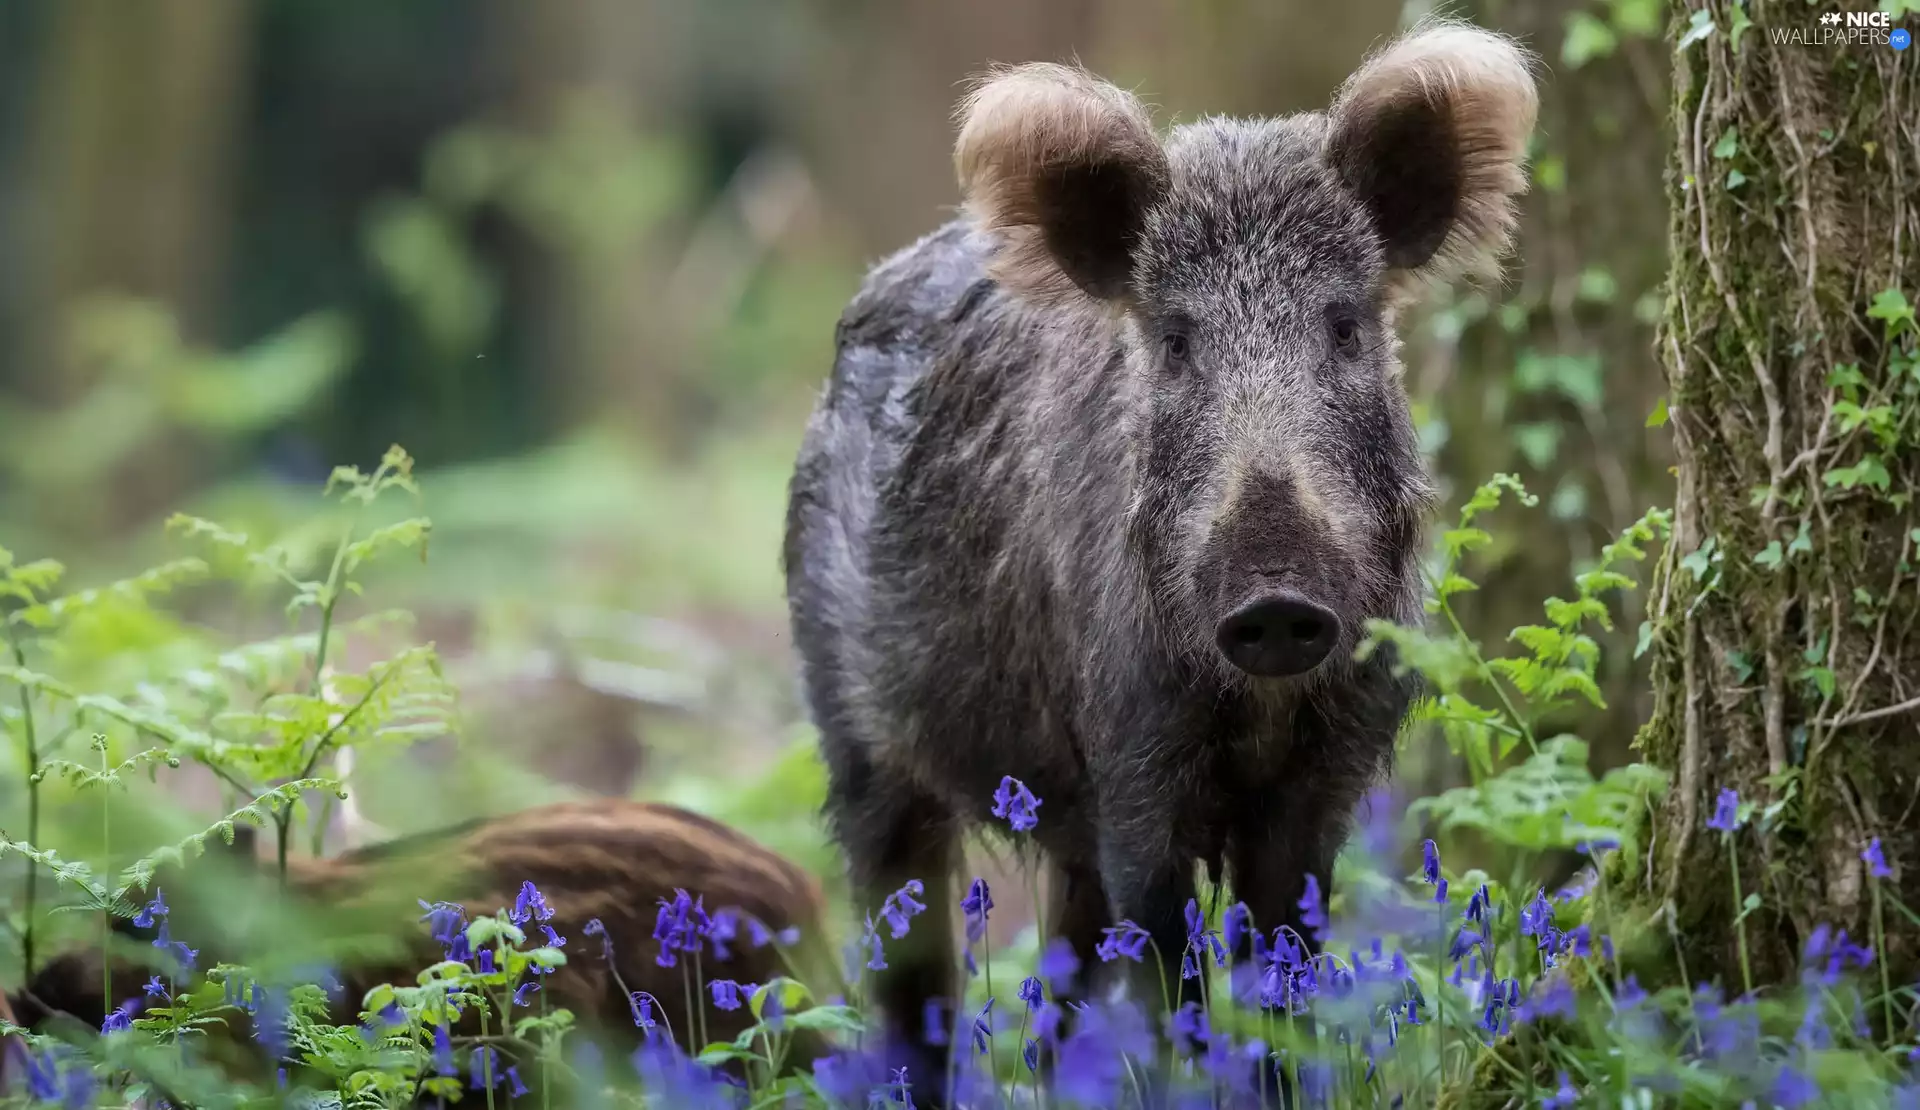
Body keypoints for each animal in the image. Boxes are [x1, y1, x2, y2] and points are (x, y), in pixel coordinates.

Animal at [782, 18, 1538, 1092]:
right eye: (1177, 342)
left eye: (1346, 326)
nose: (1276, 597)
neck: (1257, 712)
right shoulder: (1135, 758)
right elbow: (1172, 986)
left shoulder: (1330, 774)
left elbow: (1282, 977)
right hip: (857, 737)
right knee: (908, 965)